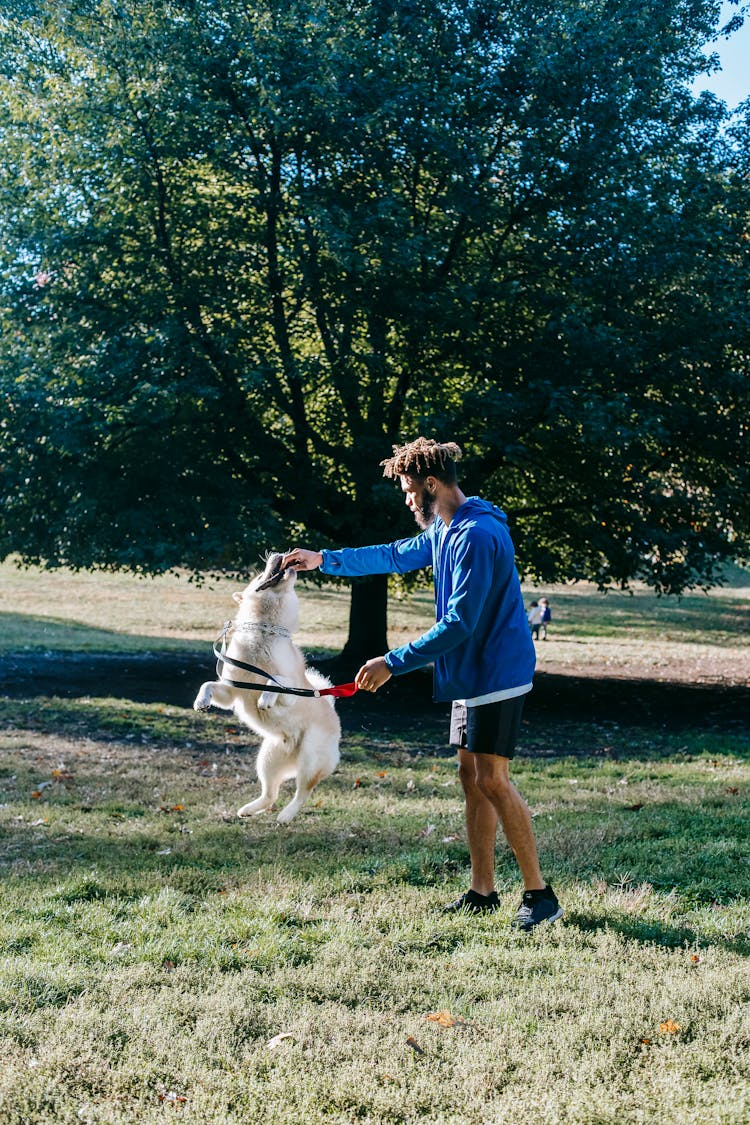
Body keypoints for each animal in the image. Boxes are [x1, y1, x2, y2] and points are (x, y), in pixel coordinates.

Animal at [195, 555, 344, 828]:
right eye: (258, 576)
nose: (277, 554)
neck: (263, 631)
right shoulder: (232, 691)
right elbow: (208, 684)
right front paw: (201, 701)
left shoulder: (292, 691)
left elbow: (275, 682)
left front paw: (265, 697)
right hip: (268, 759)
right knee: (271, 794)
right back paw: (248, 810)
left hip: (309, 758)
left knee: (303, 792)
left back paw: (286, 815)